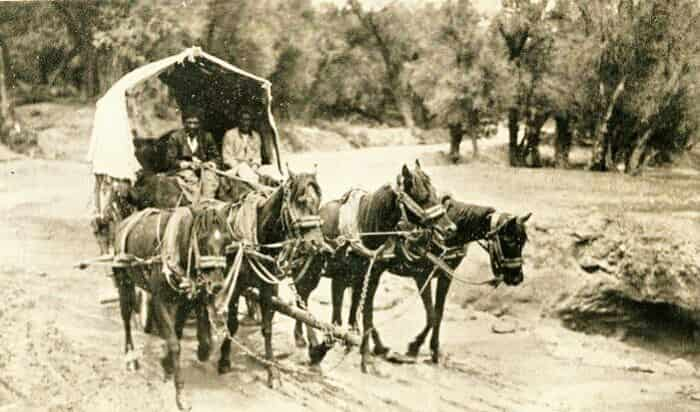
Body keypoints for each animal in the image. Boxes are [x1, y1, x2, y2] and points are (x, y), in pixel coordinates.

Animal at [112, 201, 235, 410]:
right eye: (202, 239)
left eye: (226, 241)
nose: (217, 285)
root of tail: (123, 223)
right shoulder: (160, 301)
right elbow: (175, 344)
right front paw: (180, 394)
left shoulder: (186, 301)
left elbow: (188, 337)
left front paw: (167, 362)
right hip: (124, 284)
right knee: (126, 319)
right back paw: (130, 357)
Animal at [216, 169, 328, 388]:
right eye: (300, 201)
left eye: (319, 202)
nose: (317, 245)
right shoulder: (235, 286)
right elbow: (232, 323)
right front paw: (224, 359)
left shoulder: (268, 286)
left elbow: (267, 328)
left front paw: (272, 369)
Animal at [292, 161, 456, 374]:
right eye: (422, 196)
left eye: (435, 192)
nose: (450, 228)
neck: (363, 226)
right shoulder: (340, 278)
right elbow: (337, 320)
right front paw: (323, 349)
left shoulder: (370, 279)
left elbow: (367, 317)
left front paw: (365, 357)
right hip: (310, 272)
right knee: (302, 297)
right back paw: (305, 339)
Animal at [360, 196, 532, 364]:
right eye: (509, 240)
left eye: (523, 241)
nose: (517, 277)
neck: (444, 238)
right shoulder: (422, 276)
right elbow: (431, 314)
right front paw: (414, 348)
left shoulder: (445, 275)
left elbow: (438, 313)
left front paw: (434, 350)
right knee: (366, 306)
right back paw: (377, 346)